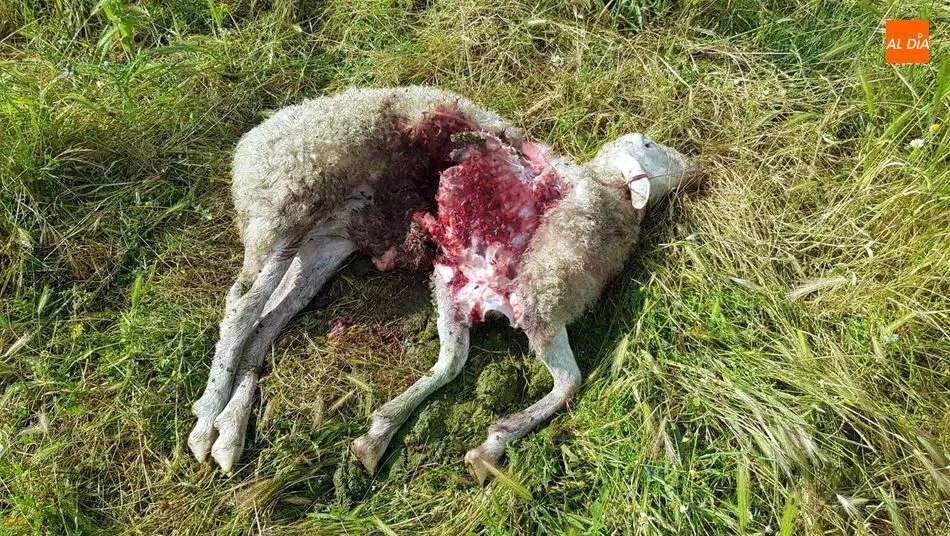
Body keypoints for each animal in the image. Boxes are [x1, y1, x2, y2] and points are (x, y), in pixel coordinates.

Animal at [187, 85, 697, 483]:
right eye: (647, 143)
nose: (692, 165)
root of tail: (249, 145)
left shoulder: (463, 286)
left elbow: (453, 363)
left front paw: (381, 433)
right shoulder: (538, 299)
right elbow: (565, 382)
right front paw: (492, 444)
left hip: (319, 247)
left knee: (269, 319)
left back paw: (230, 430)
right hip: (287, 205)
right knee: (241, 307)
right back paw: (207, 420)